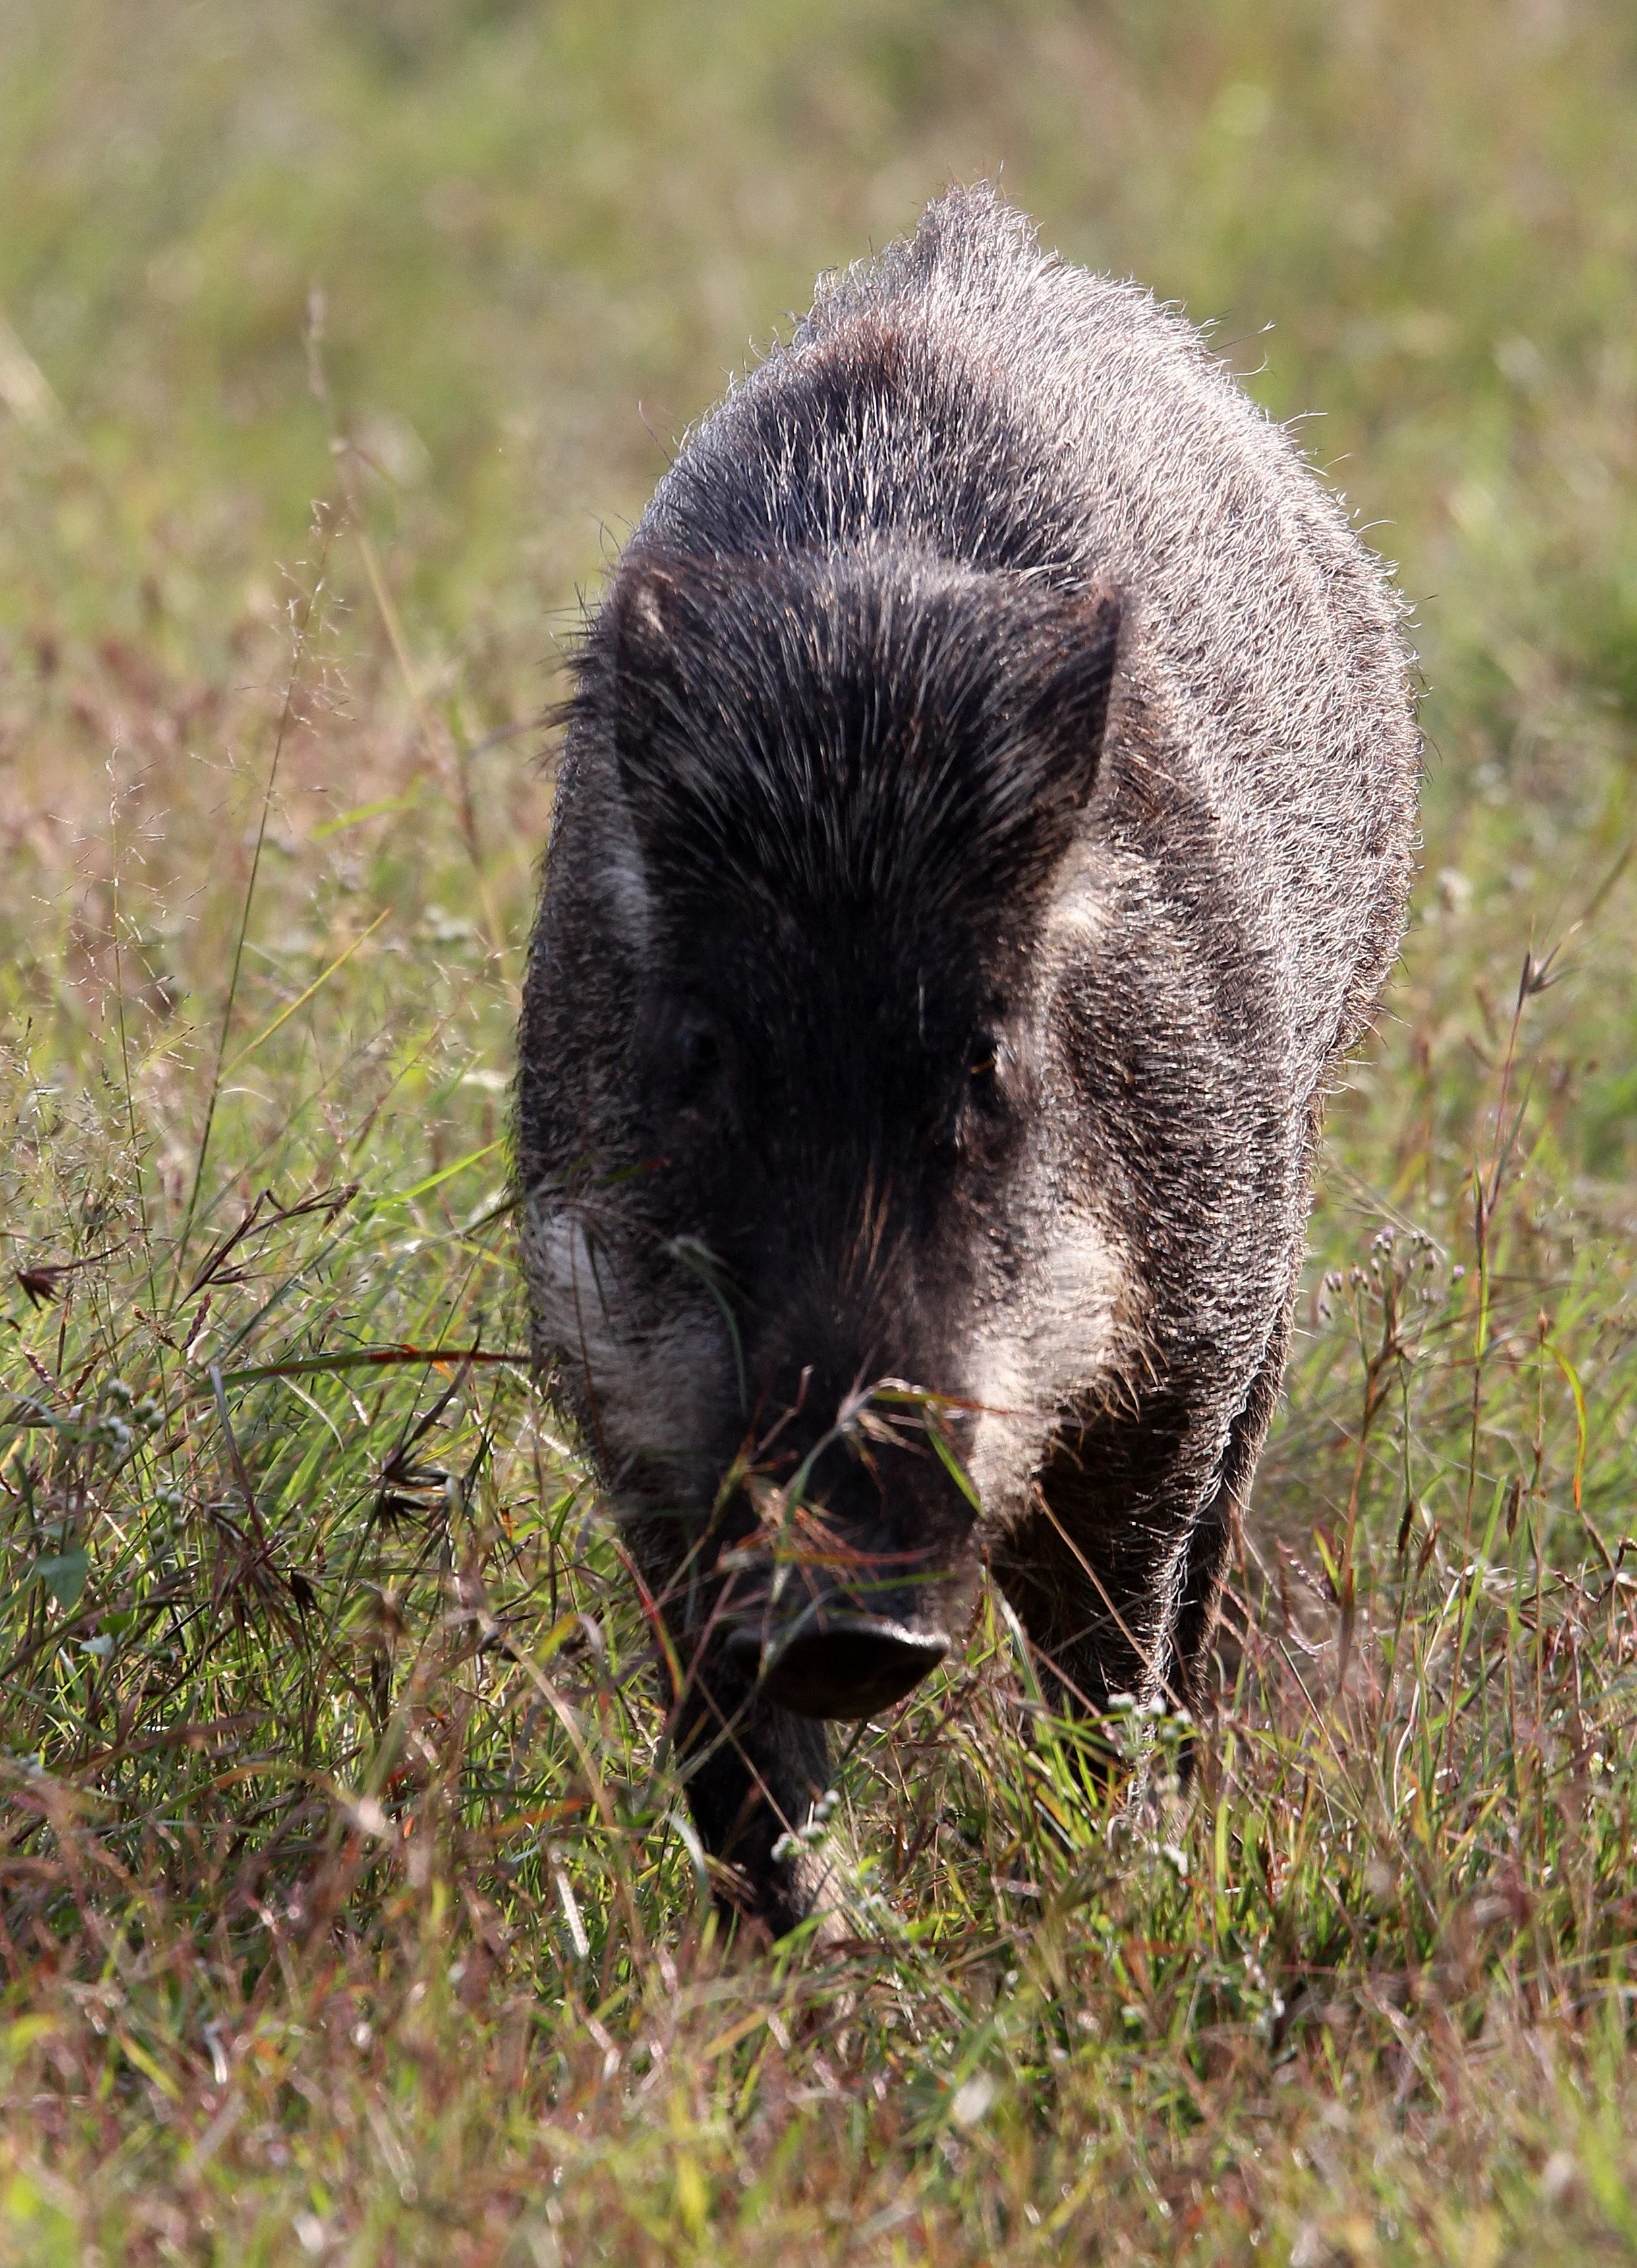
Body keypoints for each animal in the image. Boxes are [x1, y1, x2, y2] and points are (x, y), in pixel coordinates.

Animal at [516, 184, 1419, 1936]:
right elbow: (725, 1735)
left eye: (992, 1060)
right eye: (698, 1049)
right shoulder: (616, 1370)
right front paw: (820, 1947)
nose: (843, 1612)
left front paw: (1112, 1887)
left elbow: (1109, 1651)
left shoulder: (1185, 1335)